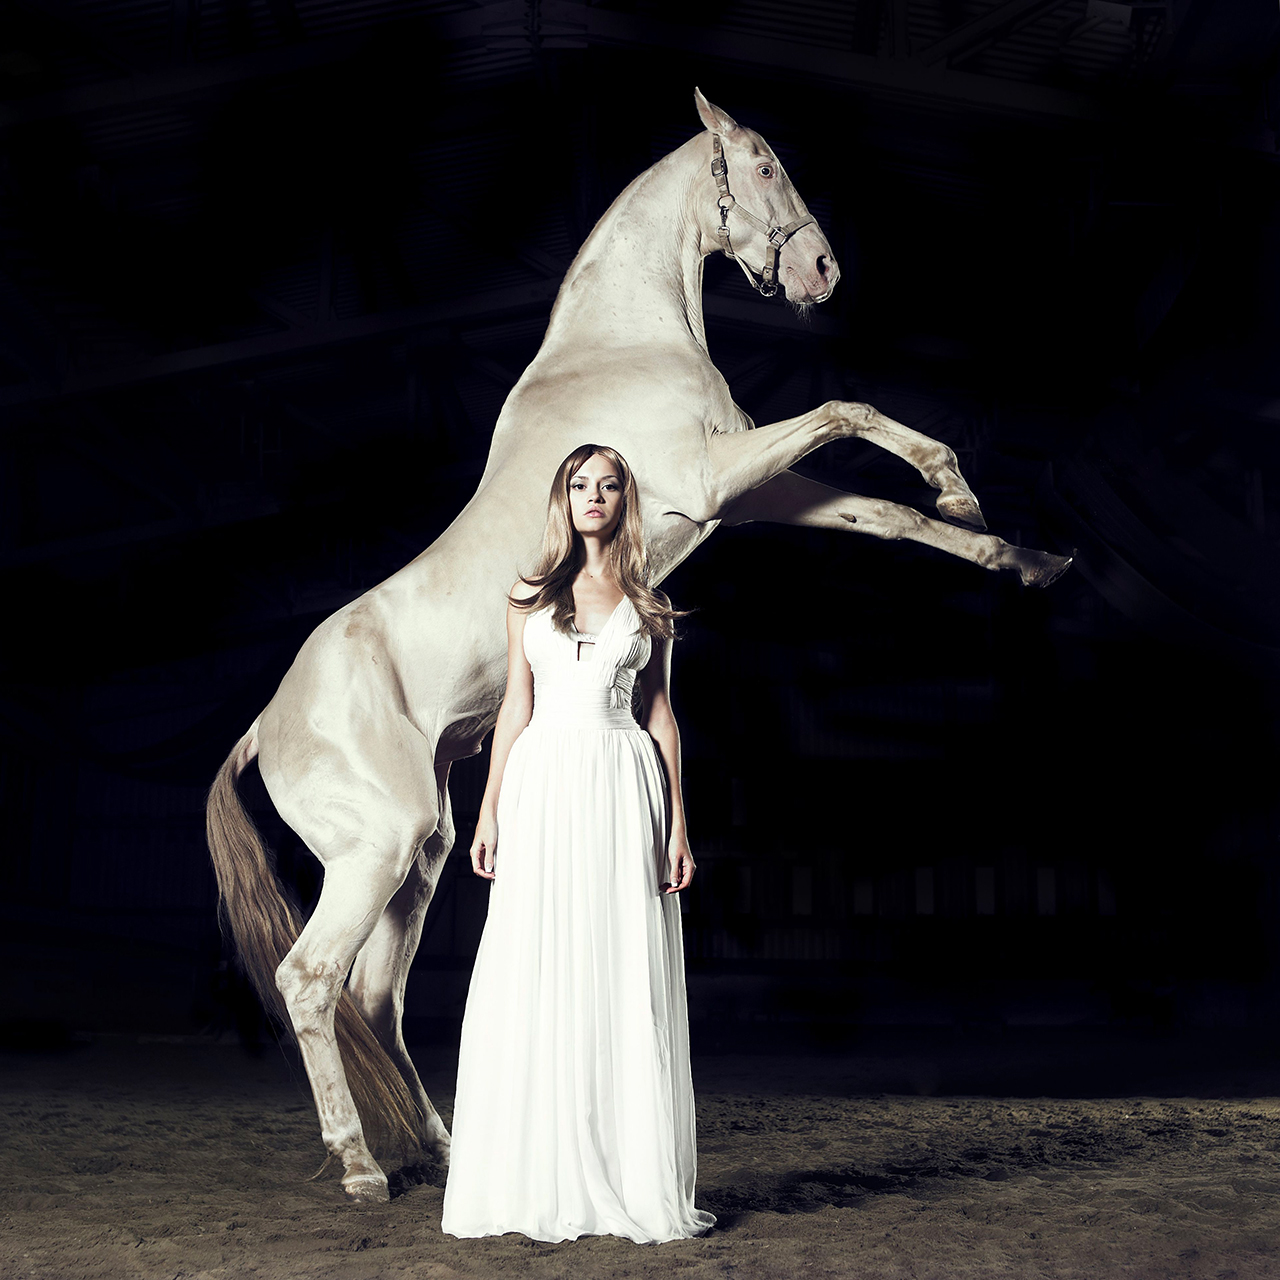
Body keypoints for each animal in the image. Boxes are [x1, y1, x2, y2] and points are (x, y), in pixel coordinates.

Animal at [206, 88, 1072, 1204]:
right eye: (760, 164)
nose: (821, 271)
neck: (619, 342)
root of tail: (266, 728)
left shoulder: (749, 488)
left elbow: (885, 510)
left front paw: (1018, 550)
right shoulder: (715, 477)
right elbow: (848, 405)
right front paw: (961, 487)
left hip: (424, 854)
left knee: (374, 996)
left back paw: (439, 1149)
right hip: (377, 850)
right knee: (312, 983)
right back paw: (362, 1167)